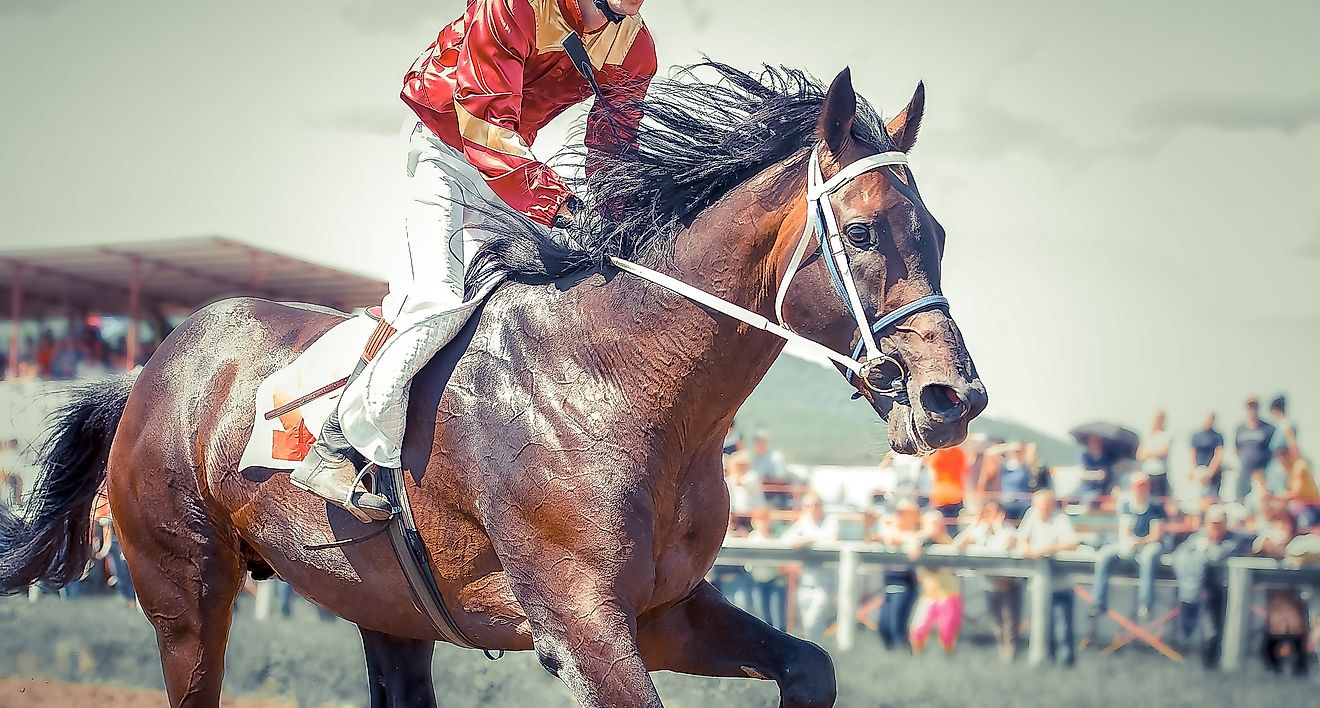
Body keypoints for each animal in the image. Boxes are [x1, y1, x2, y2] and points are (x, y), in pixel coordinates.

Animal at [0, 62, 987, 708]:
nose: (953, 398)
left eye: (938, 232)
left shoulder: (663, 610)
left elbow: (811, 666)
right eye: (862, 233)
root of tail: (151, 369)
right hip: (184, 592)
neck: (619, 383)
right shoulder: (579, 623)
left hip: (384, 607)